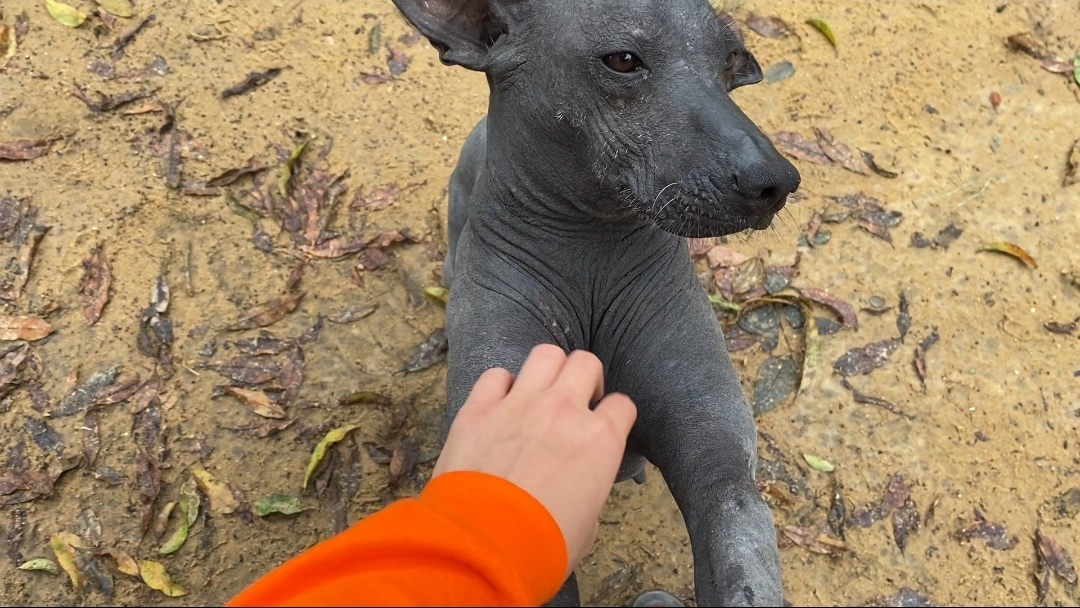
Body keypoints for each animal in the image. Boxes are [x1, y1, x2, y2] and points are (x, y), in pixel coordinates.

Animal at [393, 2, 799, 604]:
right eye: (623, 60)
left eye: (729, 61)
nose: (776, 180)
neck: (591, 250)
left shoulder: (725, 478)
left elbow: (741, 557)